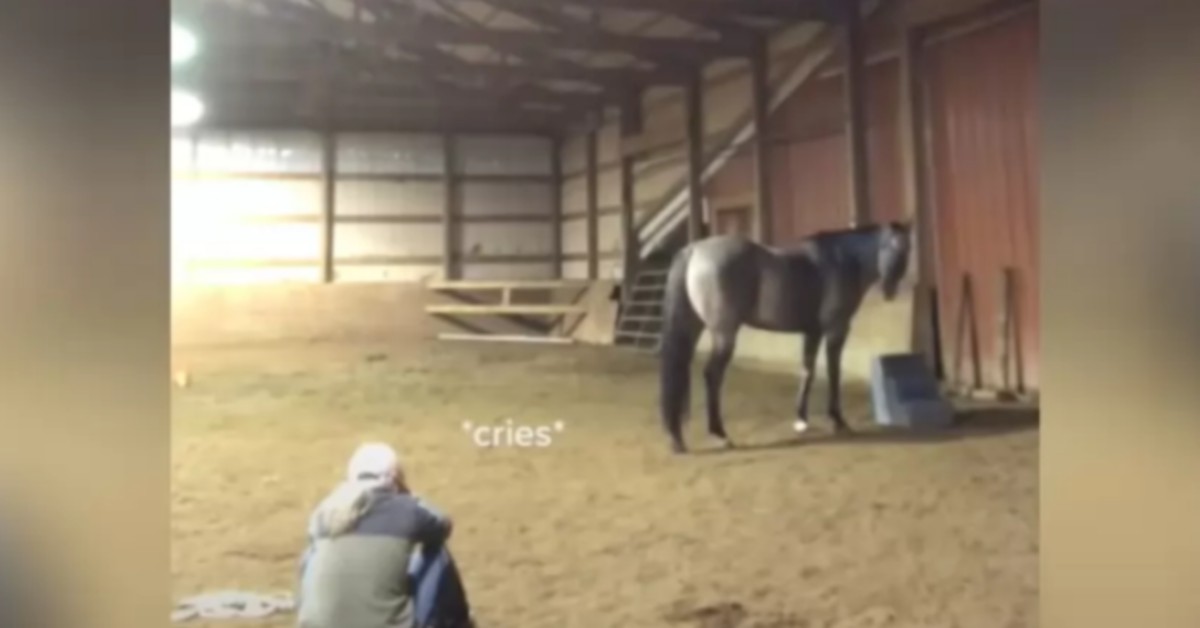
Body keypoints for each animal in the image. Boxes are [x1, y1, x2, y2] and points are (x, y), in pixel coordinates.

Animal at [657, 223, 907, 453]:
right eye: (889, 246)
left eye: (907, 250)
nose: (890, 290)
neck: (841, 261)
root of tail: (695, 250)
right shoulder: (836, 329)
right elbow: (833, 373)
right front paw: (838, 420)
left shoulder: (813, 331)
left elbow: (807, 371)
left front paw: (801, 420)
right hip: (723, 334)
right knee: (712, 376)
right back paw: (719, 433)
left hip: (693, 327)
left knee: (681, 369)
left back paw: (677, 436)